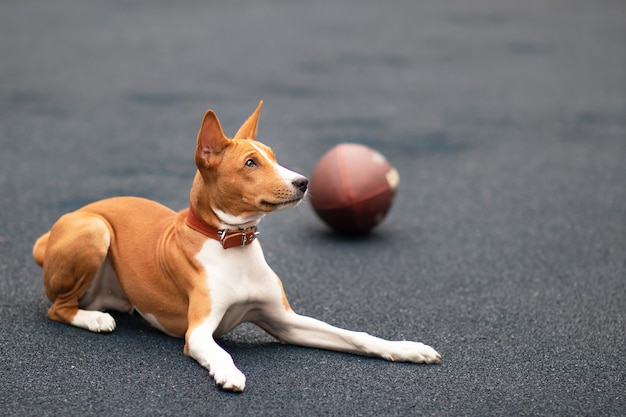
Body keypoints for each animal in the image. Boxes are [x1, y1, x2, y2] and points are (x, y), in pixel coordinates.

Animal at [30, 102, 438, 392]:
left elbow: (355, 336)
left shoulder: (285, 321)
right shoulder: (198, 332)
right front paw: (228, 372)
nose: (304, 181)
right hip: (95, 230)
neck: (233, 245)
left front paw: (406, 348)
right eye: (250, 163)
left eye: (273, 156)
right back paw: (95, 318)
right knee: (58, 308)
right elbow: (219, 350)